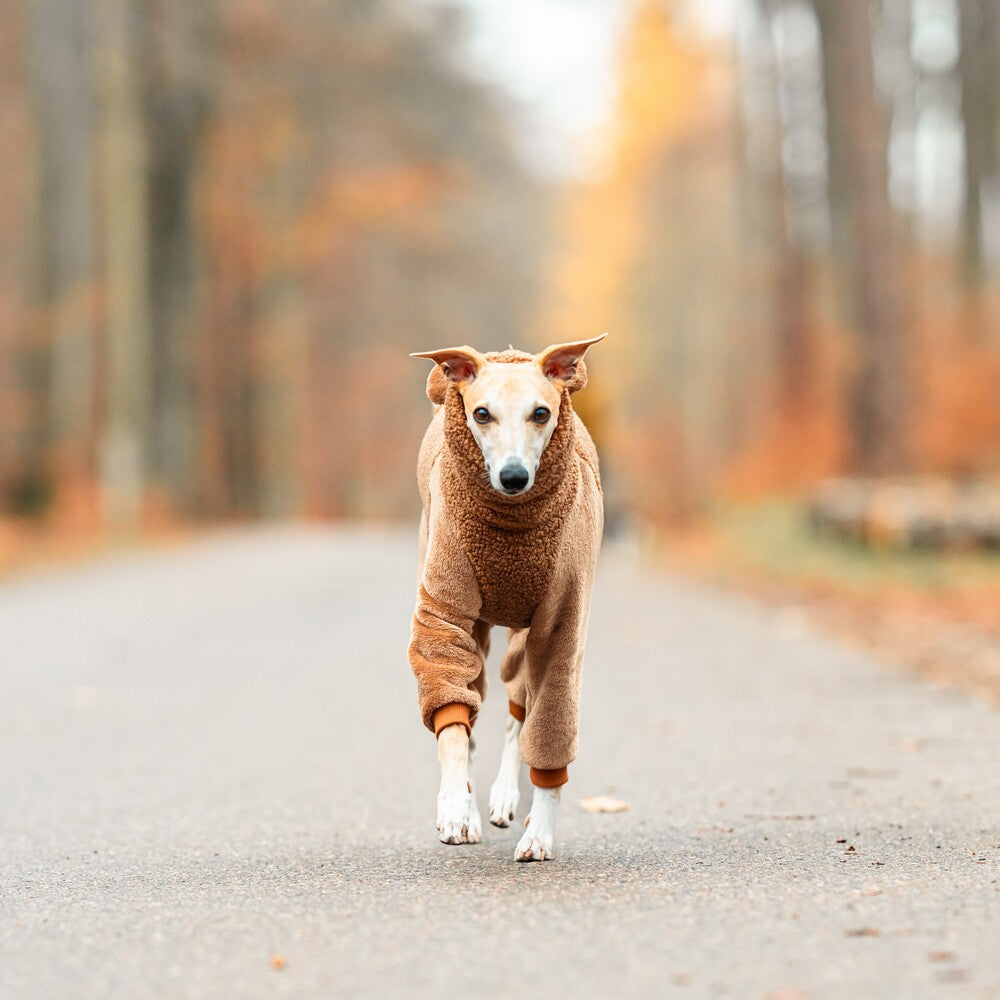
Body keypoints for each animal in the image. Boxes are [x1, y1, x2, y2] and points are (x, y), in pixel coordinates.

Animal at [410, 334, 604, 860]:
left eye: (541, 412)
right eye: (481, 413)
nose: (514, 477)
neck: (510, 530)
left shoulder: (561, 622)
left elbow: (547, 722)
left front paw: (540, 832)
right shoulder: (445, 613)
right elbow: (453, 724)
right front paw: (455, 809)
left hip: (524, 632)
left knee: (520, 710)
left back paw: (504, 798)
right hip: (475, 626)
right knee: (472, 708)